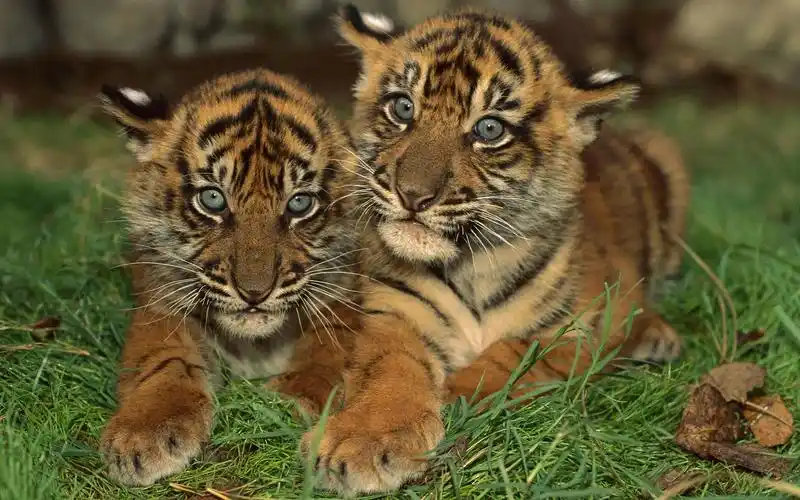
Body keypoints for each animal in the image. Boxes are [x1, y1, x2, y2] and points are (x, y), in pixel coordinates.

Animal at [97, 69, 365, 486]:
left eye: (299, 203)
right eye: (213, 199)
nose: (254, 293)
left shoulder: (345, 299)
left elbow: (325, 353)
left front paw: (288, 401)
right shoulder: (161, 305)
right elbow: (163, 361)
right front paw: (144, 433)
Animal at [300, 5, 690, 496]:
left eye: (489, 129)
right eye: (403, 107)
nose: (412, 195)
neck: (473, 264)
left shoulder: (583, 326)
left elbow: (514, 354)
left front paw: (456, 396)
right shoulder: (394, 314)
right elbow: (390, 372)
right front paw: (364, 440)